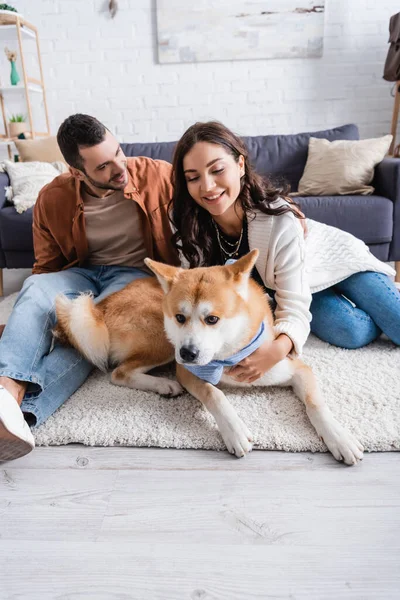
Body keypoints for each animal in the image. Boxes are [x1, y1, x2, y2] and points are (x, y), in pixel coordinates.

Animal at [54, 251, 364, 466]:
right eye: (180, 317)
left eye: (212, 319)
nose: (187, 353)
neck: (227, 356)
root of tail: (101, 306)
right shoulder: (187, 372)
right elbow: (214, 393)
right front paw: (234, 431)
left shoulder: (295, 368)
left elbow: (316, 404)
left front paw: (339, 438)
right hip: (163, 340)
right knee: (119, 373)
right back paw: (163, 385)